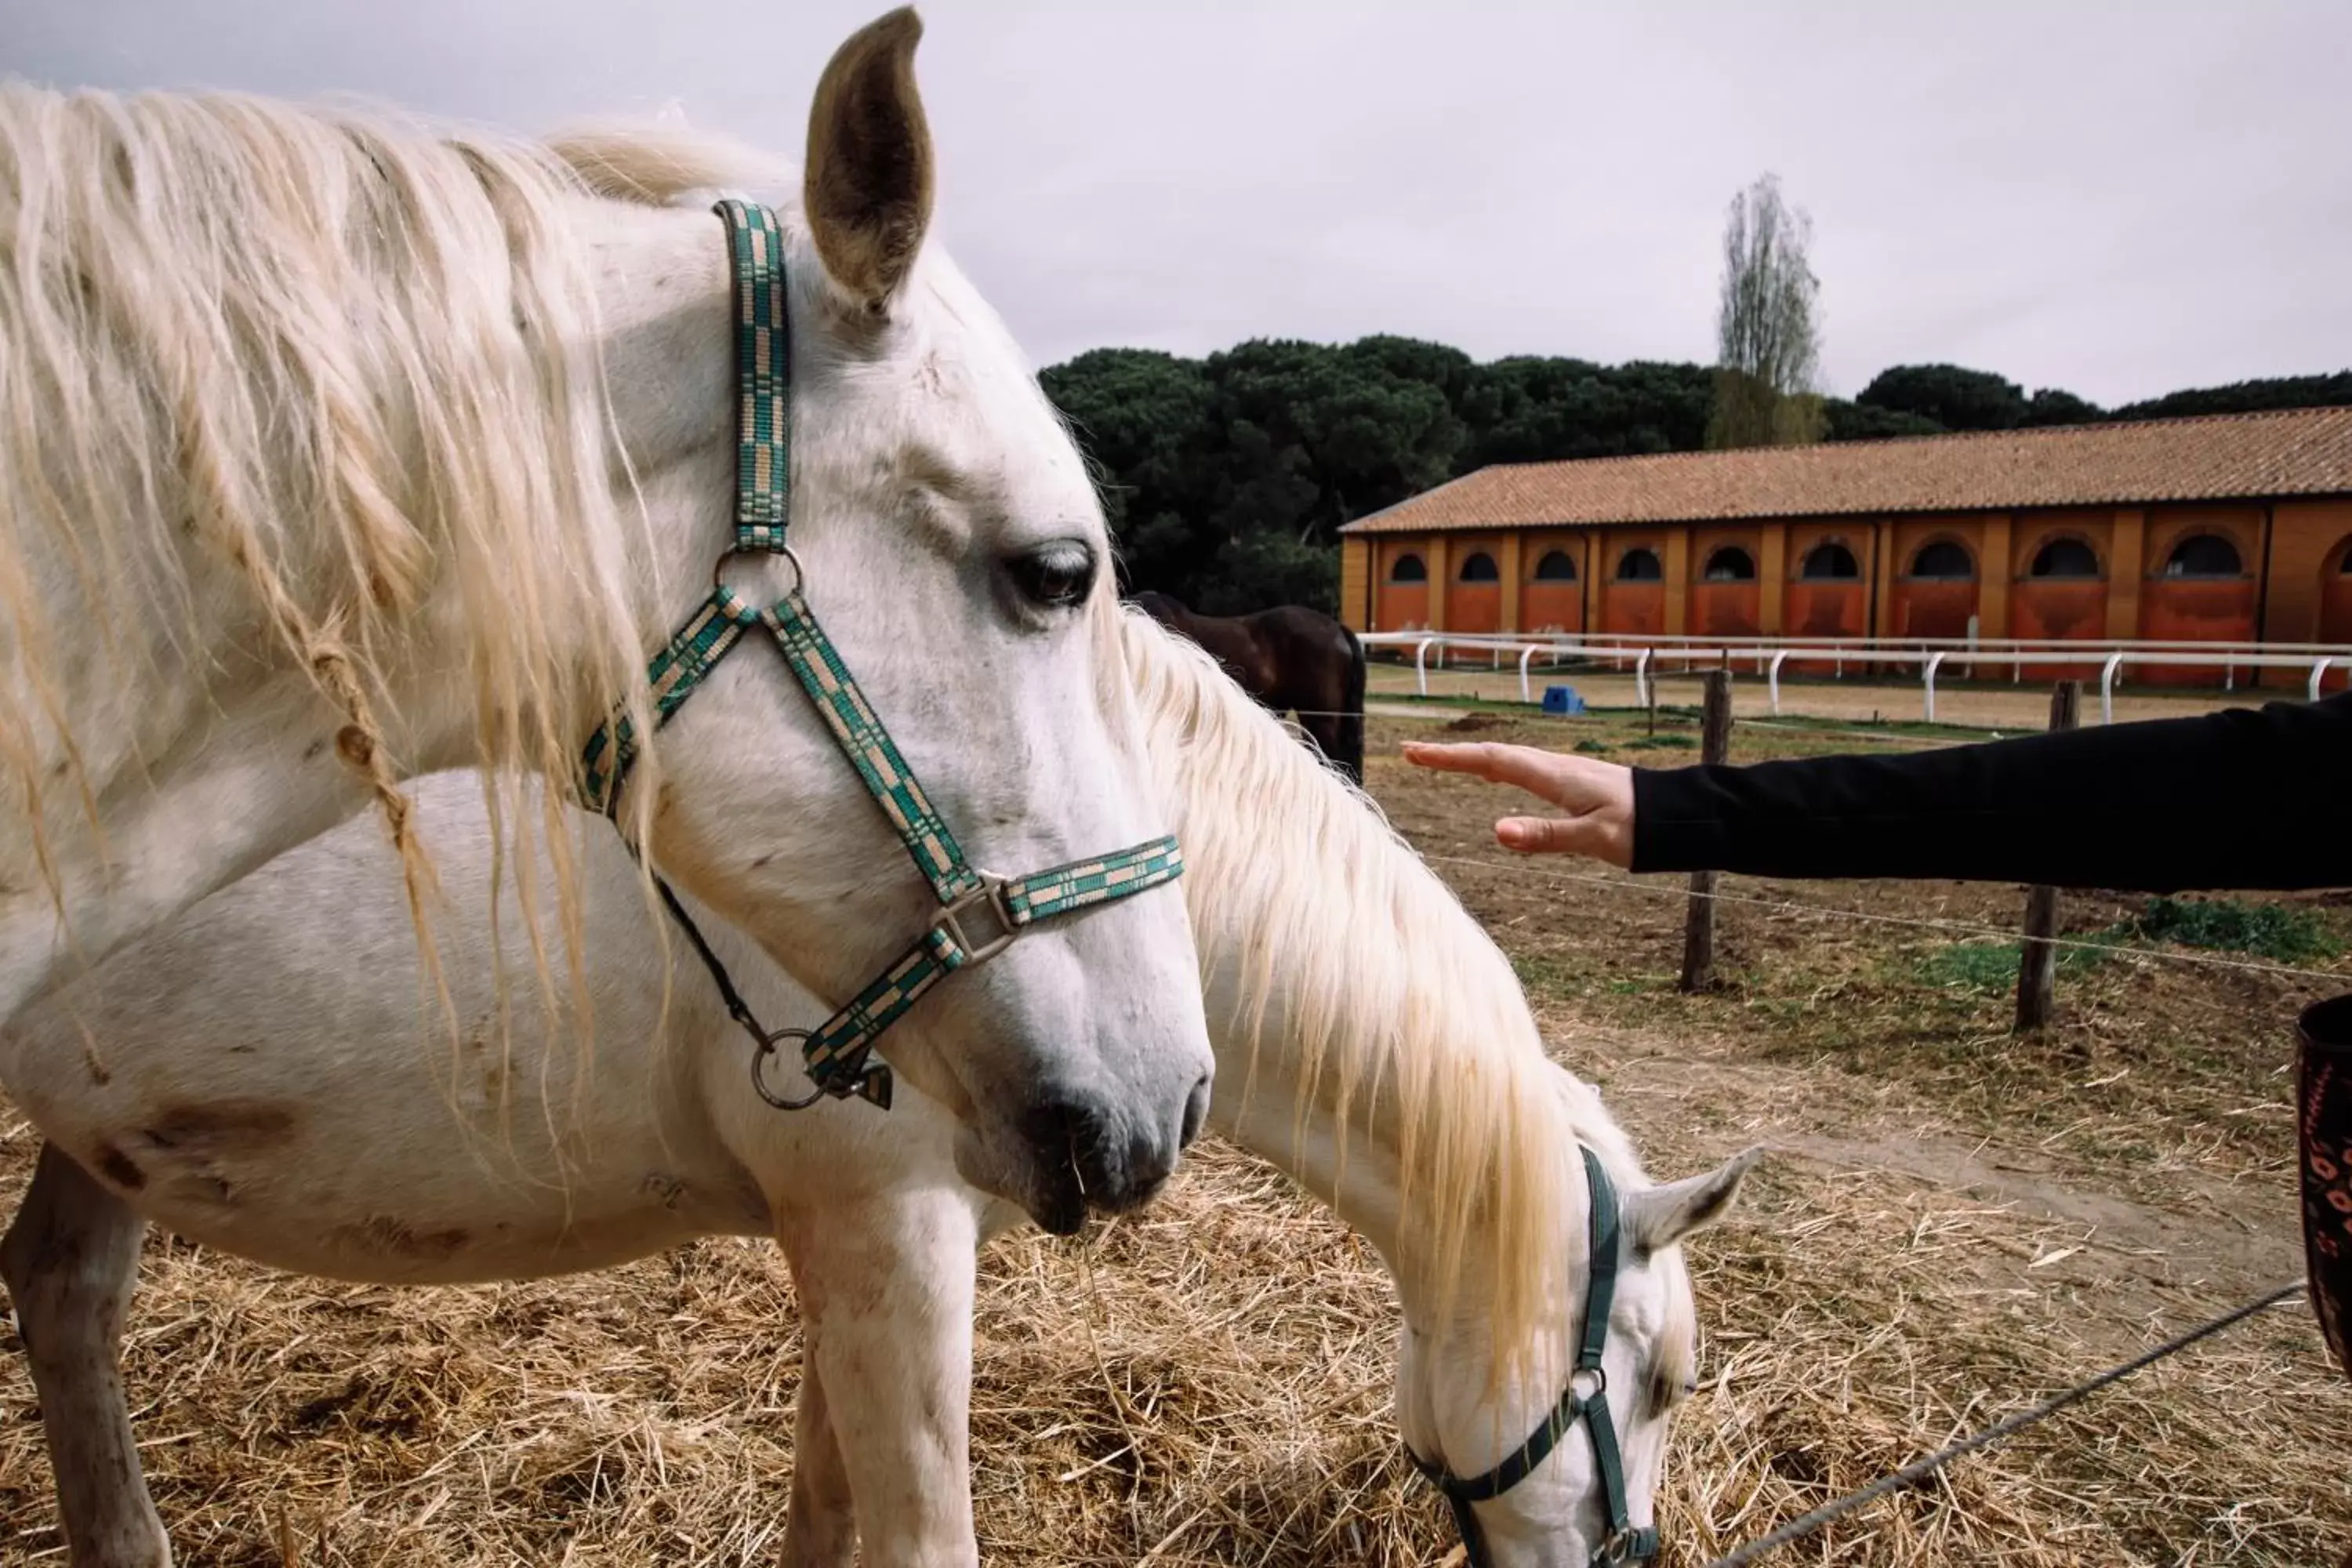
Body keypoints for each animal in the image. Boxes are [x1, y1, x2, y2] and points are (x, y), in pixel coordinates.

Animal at [4, 615, 1750, 1568]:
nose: (1634, 1556)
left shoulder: (883, 1241)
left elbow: (830, 1510)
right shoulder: (887, 1228)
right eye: (1659, 1383)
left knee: (64, 1293)